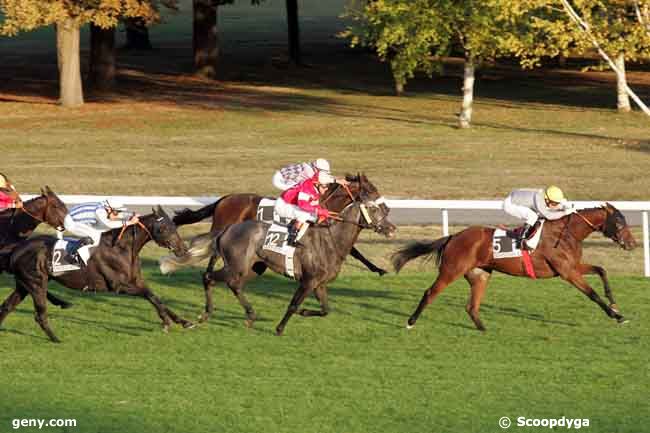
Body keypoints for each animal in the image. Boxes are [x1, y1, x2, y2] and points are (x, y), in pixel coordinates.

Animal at [0, 206, 191, 340]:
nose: (183, 249)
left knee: (7, 306)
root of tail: (16, 250)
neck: (122, 248)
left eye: (175, 227)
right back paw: (56, 338)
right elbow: (149, 295)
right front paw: (166, 322)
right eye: (165, 228)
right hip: (36, 282)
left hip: (25, 284)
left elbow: (156, 297)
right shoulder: (118, 286)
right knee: (39, 313)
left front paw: (183, 321)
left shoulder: (136, 281)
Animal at [170, 177, 388, 276]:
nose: (385, 208)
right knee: (215, 251)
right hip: (224, 228)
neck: (324, 204)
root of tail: (223, 200)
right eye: (371, 191)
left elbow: (356, 252)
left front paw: (378, 269)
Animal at [392, 204, 636, 330]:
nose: (632, 243)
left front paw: (615, 306)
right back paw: (411, 322)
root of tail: (454, 236)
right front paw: (616, 315)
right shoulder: (567, 272)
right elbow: (592, 294)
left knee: (471, 306)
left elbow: (602, 270)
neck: (566, 233)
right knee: (430, 293)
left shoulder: (573, 266)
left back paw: (484, 329)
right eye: (619, 222)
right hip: (452, 270)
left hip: (480, 275)